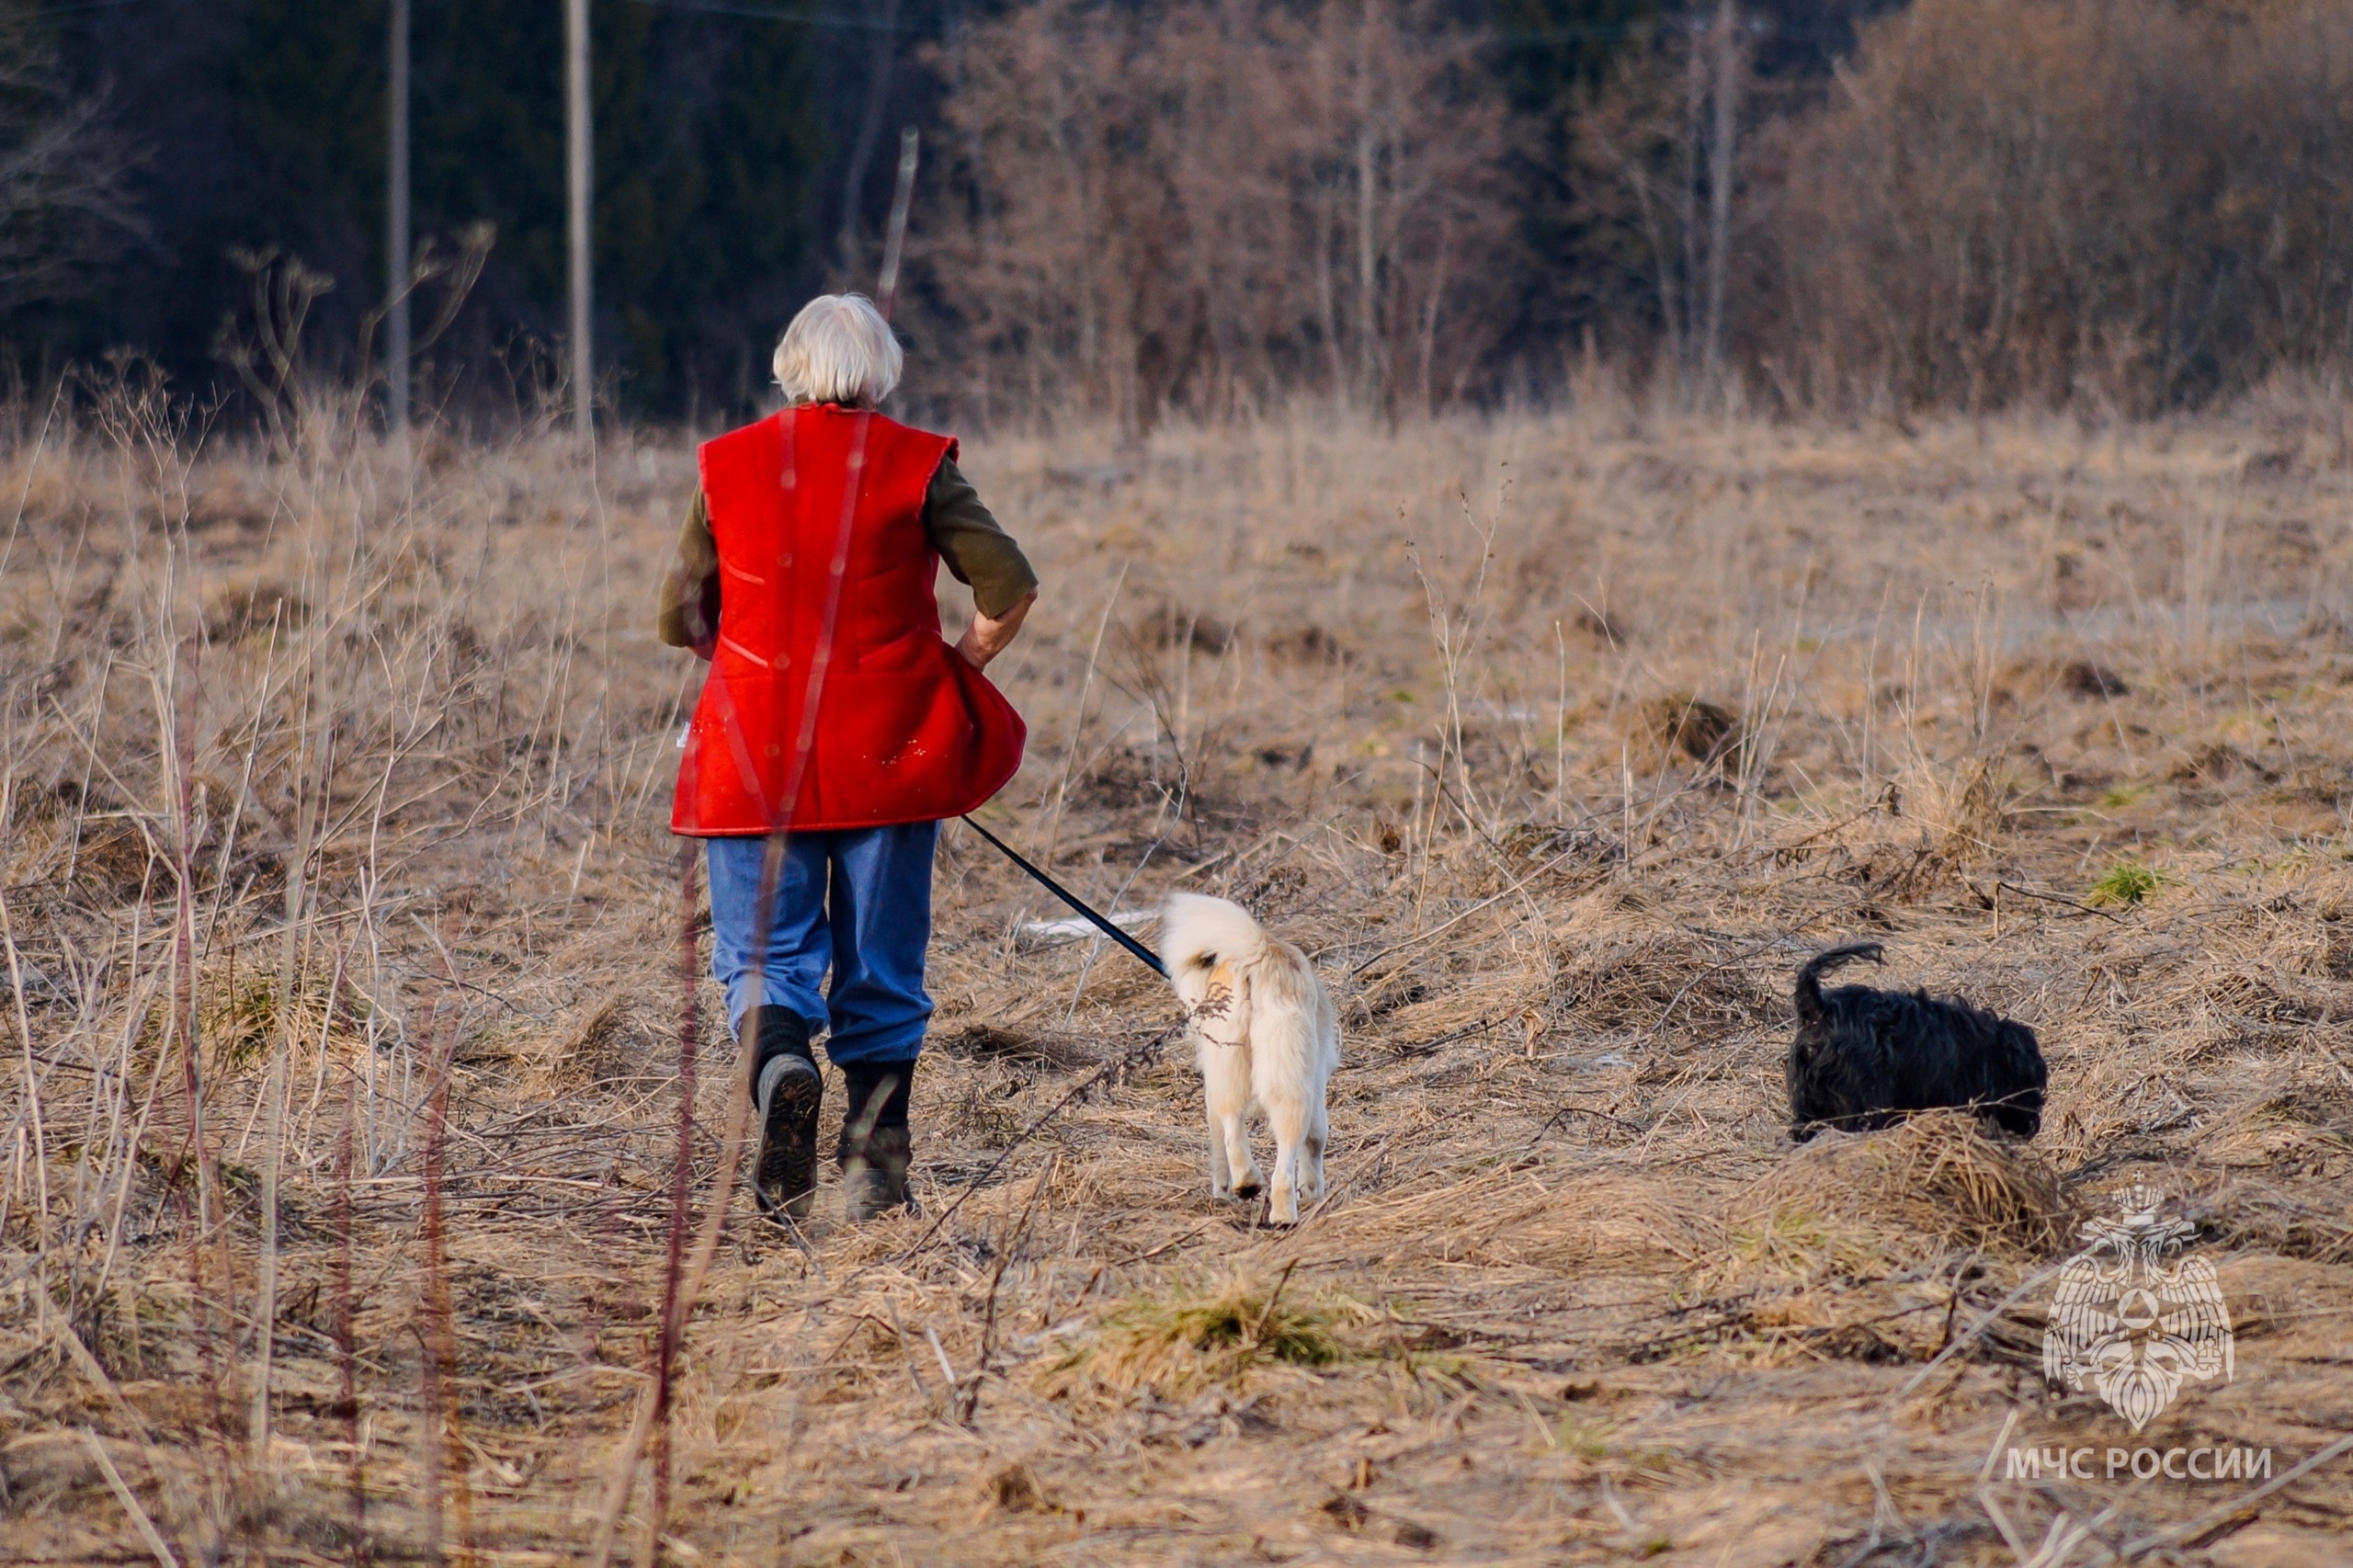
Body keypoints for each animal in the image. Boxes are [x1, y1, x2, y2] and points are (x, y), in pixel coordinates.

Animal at [1162, 890, 1346, 1224]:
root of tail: (1258, 953)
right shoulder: (1316, 1091)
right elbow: (1315, 1144)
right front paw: (1314, 1191)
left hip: (1233, 1069)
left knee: (1234, 1133)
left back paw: (1251, 1186)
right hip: (1288, 1086)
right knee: (1283, 1164)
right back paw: (1280, 1211)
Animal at [1788, 932, 2052, 1143]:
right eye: (2030, 1082)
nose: (2032, 1125)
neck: (1989, 1050)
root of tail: (1820, 1008)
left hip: (1809, 1105)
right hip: (1861, 1103)